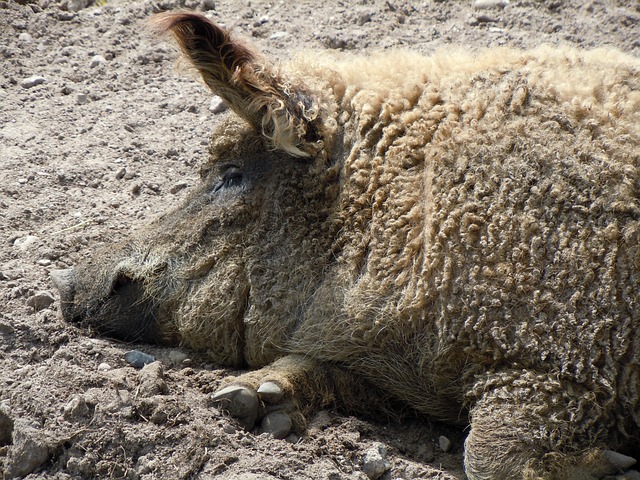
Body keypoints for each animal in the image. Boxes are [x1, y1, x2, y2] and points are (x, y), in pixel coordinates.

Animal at [51, 11, 640, 480]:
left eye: (231, 174)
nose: (68, 283)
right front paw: (242, 400)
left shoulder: (568, 359)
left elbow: (491, 456)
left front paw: (613, 465)